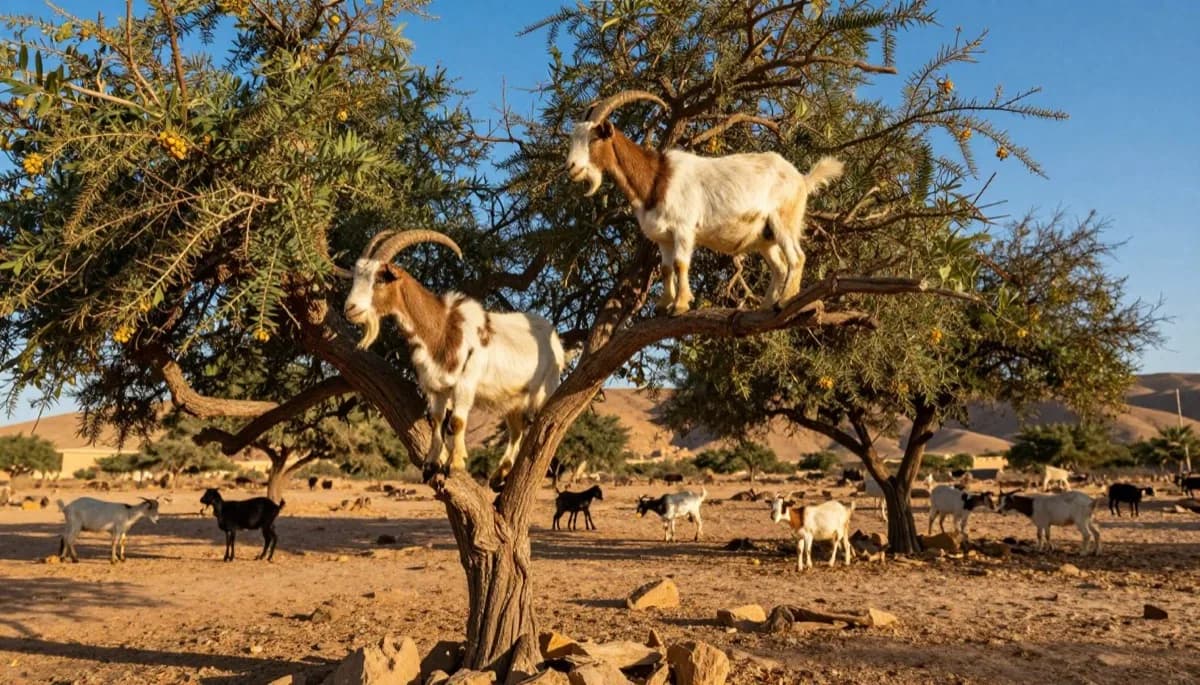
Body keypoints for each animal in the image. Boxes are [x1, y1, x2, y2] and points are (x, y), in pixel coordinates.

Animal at [341, 230, 568, 487]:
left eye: (379, 279)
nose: (350, 309)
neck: (441, 328)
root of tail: (555, 339)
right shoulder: (435, 387)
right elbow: (437, 420)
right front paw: (431, 463)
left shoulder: (465, 383)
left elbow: (457, 421)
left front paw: (456, 462)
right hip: (512, 398)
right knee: (516, 430)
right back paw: (500, 474)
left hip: (543, 390)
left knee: (534, 427)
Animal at [566, 91, 843, 314]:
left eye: (594, 138)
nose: (571, 167)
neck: (656, 177)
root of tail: (802, 179)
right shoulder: (663, 238)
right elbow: (666, 268)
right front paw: (663, 305)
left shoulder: (684, 228)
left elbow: (681, 264)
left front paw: (679, 305)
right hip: (765, 236)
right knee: (780, 266)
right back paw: (765, 306)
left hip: (784, 220)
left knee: (797, 257)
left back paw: (785, 301)